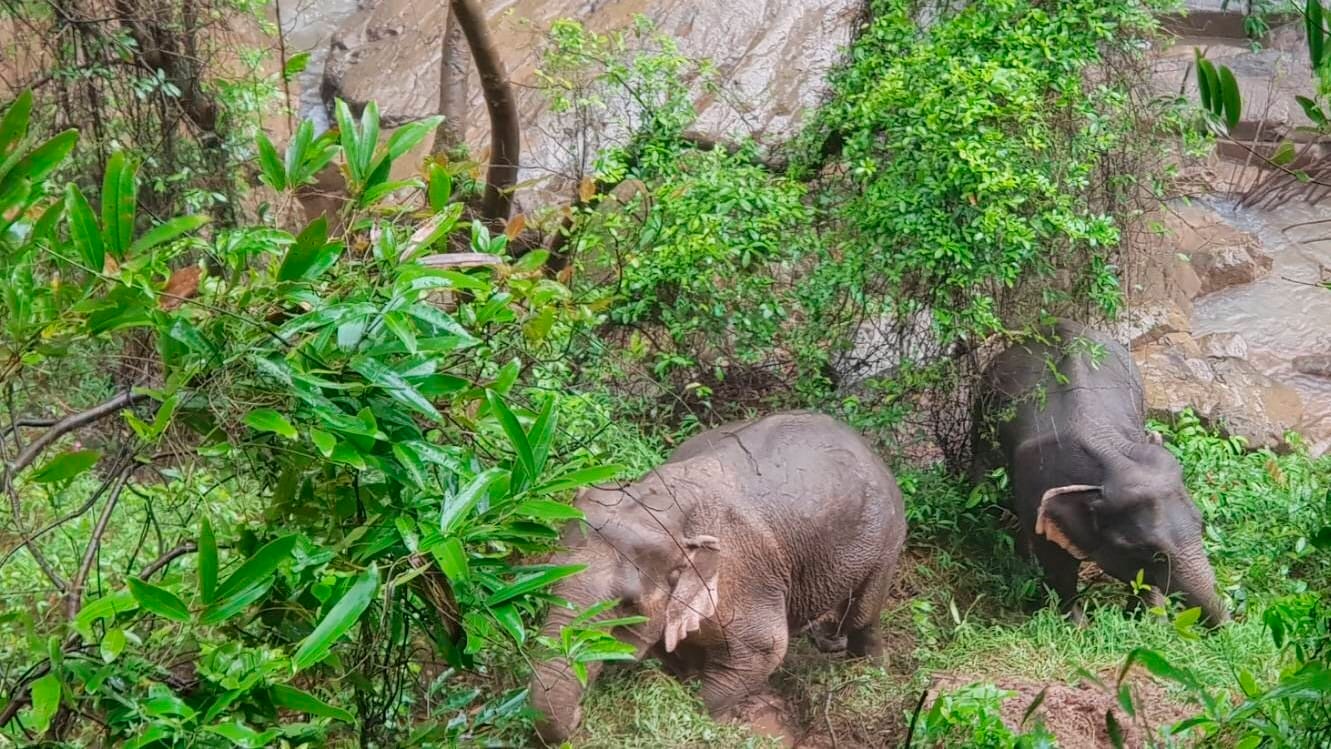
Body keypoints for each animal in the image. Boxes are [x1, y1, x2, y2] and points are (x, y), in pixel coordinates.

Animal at [524, 412, 910, 745]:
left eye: (626, 605)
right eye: (548, 582)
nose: (578, 717)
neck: (663, 508)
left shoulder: (744, 577)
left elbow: (765, 649)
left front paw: (711, 717)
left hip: (887, 537)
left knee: (863, 614)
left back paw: (870, 670)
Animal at [968, 319, 1224, 630]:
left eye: (1201, 525)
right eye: (1151, 551)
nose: (1226, 628)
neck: (1110, 456)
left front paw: (1149, 622)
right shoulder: (1036, 486)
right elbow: (1057, 563)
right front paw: (1077, 627)